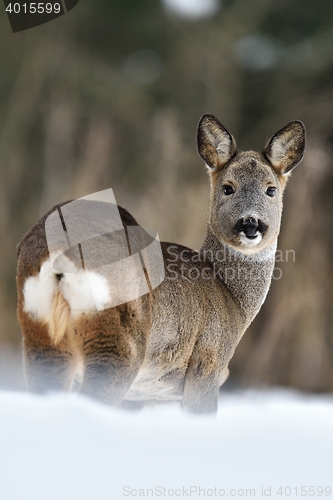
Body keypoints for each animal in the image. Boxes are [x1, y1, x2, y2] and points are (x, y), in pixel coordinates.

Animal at [16, 115, 304, 412]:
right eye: (228, 187)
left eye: (270, 189)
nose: (250, 224)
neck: (231, 298)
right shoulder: (207, 362)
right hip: (118, 336)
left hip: (40, 332)